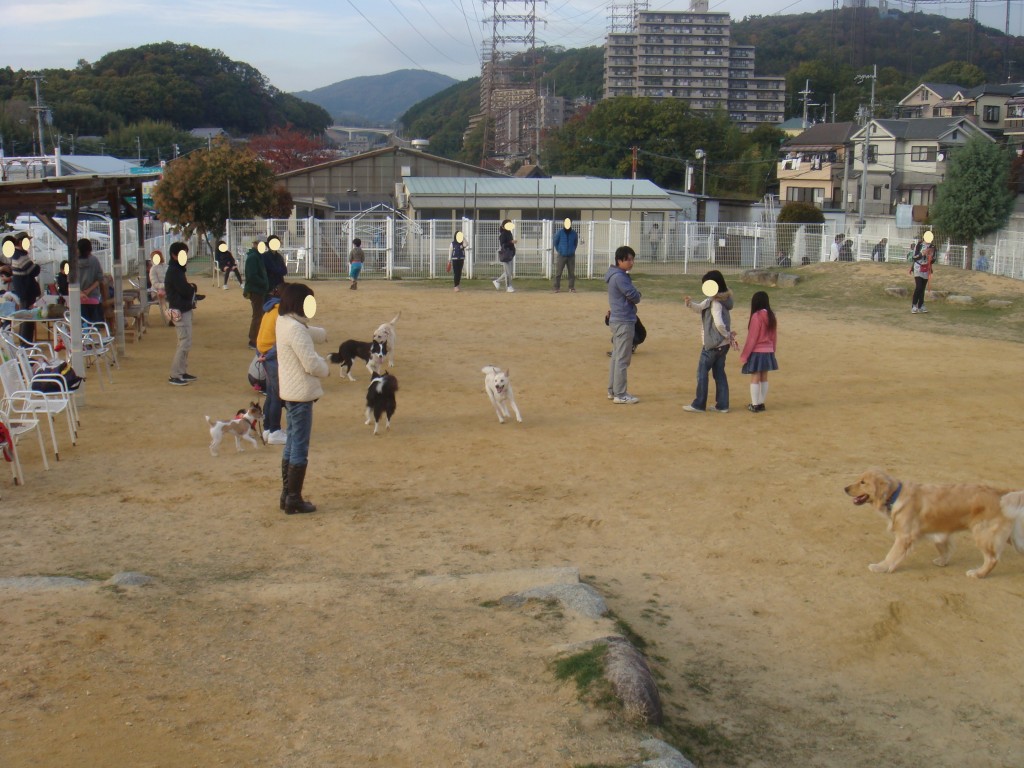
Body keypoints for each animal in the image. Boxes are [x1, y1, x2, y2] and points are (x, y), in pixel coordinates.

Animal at [843, 466, 1024, 581]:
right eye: (858, 479)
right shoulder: (940, 531)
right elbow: (944, 548)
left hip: (983, 535)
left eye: (863, 482)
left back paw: (978, 573)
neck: (895, 495)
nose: (845, 488)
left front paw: (881, 567)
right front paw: (943, 561)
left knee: (992, 559)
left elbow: (892, 555)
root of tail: (1001, 494)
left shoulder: (904, 536)